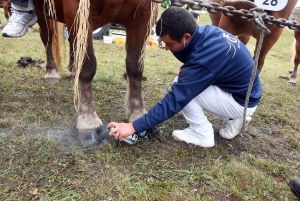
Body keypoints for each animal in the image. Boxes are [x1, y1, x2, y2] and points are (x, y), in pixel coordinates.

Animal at [32, 0, 158, 144]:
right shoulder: (78, 13)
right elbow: (88, 67)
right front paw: (88, 120)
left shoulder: (144, 15)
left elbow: (135, 67)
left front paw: (138, 114)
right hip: (41, 10)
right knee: (47, 36)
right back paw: (52, 72)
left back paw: (73, 69)